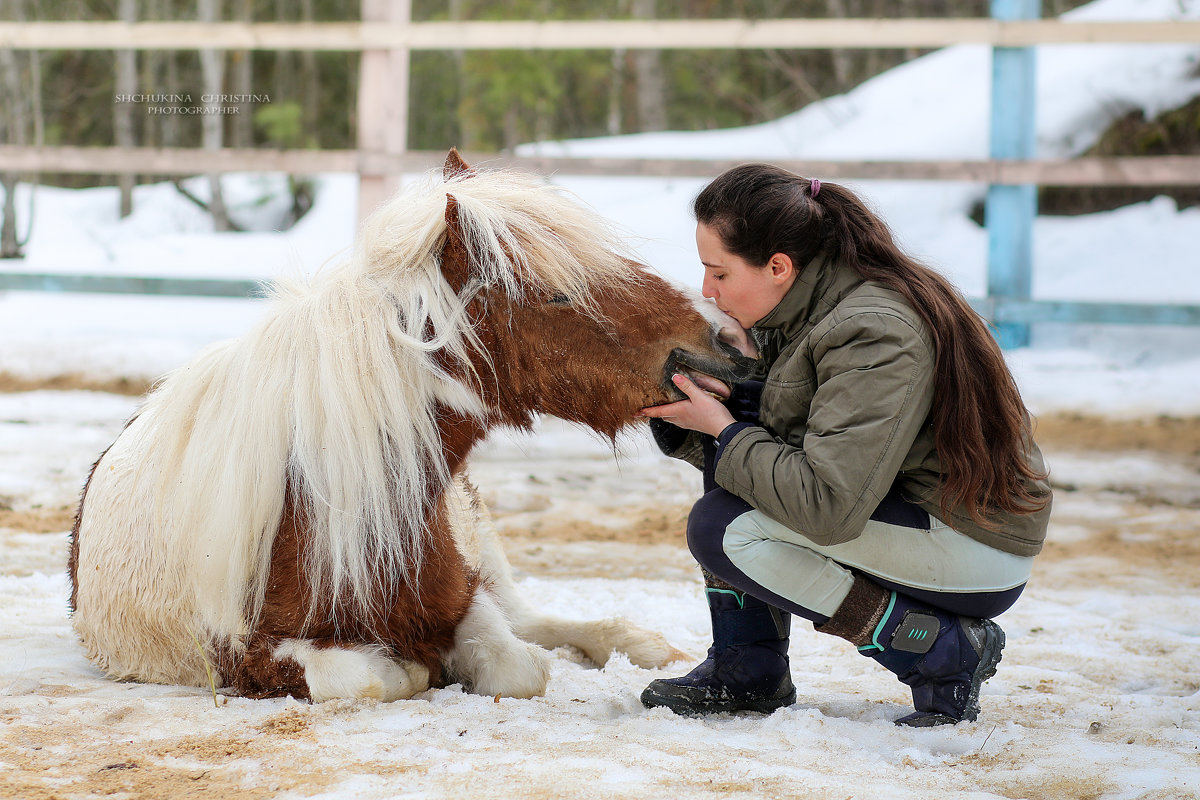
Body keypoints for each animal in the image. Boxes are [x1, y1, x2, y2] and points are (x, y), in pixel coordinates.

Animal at [68, 149, 748, 700]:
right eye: (555, 294)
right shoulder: (251, 657)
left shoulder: (464, 594)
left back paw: (631, 642)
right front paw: (420, 667)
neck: (324, 502)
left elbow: (519, 664)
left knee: (532, 619)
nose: (719, 346)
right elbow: (378, 675)